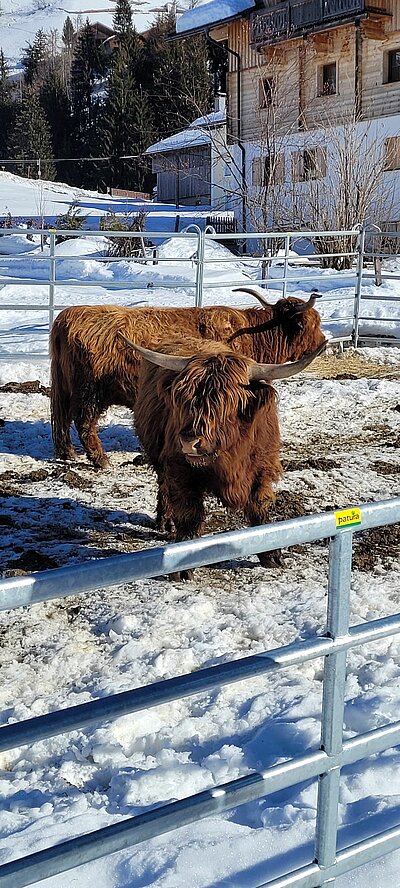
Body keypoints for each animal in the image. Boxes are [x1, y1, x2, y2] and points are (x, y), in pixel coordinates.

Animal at [50, 292, 324, 472]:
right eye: (312, 323)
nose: (323, 340)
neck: (253, 334)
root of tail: (68, 316)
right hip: (90, 392)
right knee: (83, 422)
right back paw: (101, 460)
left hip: (67, 389)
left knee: (62, 418)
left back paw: (68, 453)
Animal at [128, 336, 324, 580]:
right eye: (184, 398)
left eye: (224, 402)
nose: (189, 441)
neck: (230, 459)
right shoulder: (180, 469)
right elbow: (189, 514)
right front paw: (182, 567)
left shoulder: (262, 469)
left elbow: (259, 509)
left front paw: (272, 555)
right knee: (164, 486)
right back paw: (166, 522)